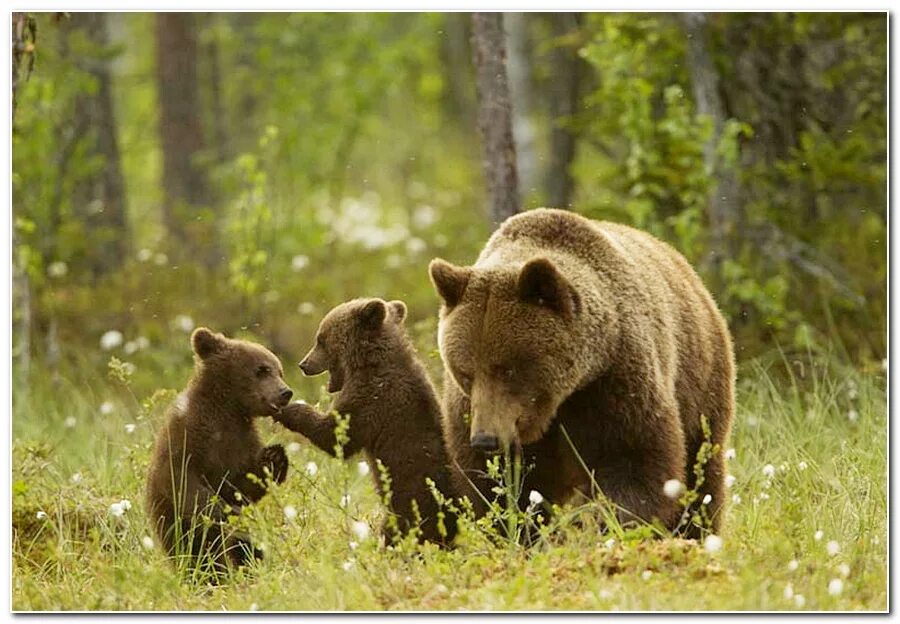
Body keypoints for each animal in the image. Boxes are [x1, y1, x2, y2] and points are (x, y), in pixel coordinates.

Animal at [144, 326, 292, 576]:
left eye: (279, 371)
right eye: (262, 369)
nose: (285, 392)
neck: (228, 410)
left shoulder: (240, 443)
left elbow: (242, 484)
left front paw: (275, 457)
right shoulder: (187, 439)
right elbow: (183, 481)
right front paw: (221, 511)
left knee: (243, 548)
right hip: (176, 531)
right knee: (202, 553)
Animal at [272, 298, 458, 544]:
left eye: (320, 339)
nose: (304, 364)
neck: (368, 362)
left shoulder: (372, 400)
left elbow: (335, 436)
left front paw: (287, 409)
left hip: (409, 503)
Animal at [428, 208, 732, 536]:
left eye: (508, 369)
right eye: (465, 372)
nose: (486, 439)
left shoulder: (614, 383)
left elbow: (633, 460)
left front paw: (609, 523)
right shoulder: (471, 409)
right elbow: (495, 484)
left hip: (700, 379)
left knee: (702, 469)